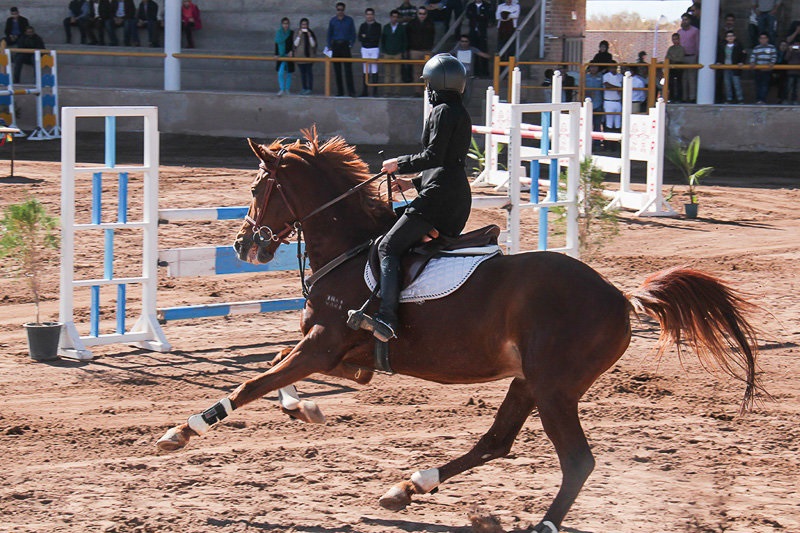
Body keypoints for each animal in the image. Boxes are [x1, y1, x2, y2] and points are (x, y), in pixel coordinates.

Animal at [158, 129, 764, 532]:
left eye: (258, 188)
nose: (244, 246)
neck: (351, 247)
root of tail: (618, 295)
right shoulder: (343, 357)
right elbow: (273, 372)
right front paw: (301, 408)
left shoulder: (324, 346)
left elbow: (251, 382)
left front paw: (183, 431)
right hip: (531, 381)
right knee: (497, 442)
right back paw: (408, 487)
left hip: (554, 388)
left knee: (576, 461)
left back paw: (538, 523)